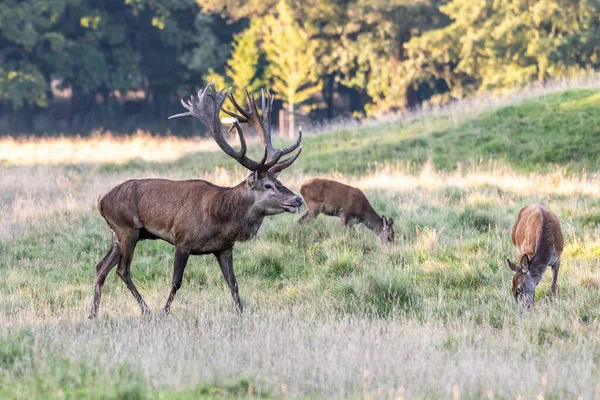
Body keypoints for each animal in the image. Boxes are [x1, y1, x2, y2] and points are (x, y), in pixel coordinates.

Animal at [88, 82, 304, 318]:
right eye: (268, 186)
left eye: (278, 180)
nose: (297, 200)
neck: (220, 218)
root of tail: (101, 200)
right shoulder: (183, 240)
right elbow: (176, 282)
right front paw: (164, 312)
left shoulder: (224, 248)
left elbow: (233, 283)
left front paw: (240, 312)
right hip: (128, 229)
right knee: (122, 270)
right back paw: (146, 309)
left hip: (117, 234)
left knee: (101, 267)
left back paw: (93, 313)